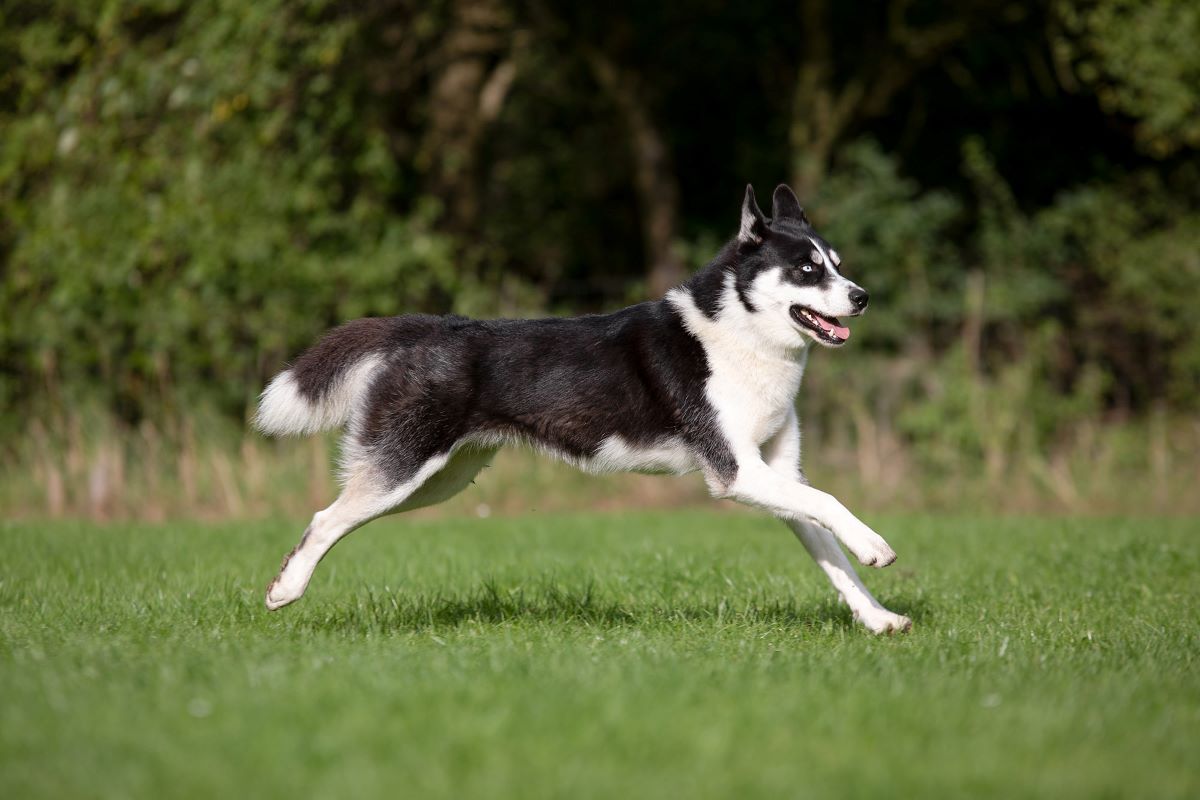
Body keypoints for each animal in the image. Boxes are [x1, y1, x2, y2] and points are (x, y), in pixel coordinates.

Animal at [255, 184, 907, 633]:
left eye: (838, 264)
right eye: (807, 268)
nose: (863, 297)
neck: (741, 338)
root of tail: (425, 327)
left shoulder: (779, 474)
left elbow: (830, 551)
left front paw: (878, 618)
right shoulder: (737, 473)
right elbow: (834, 505)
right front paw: (877, 546)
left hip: (436, 482)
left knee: (338, 514)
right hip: (403, 468)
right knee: (324, 518)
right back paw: (286, 589)